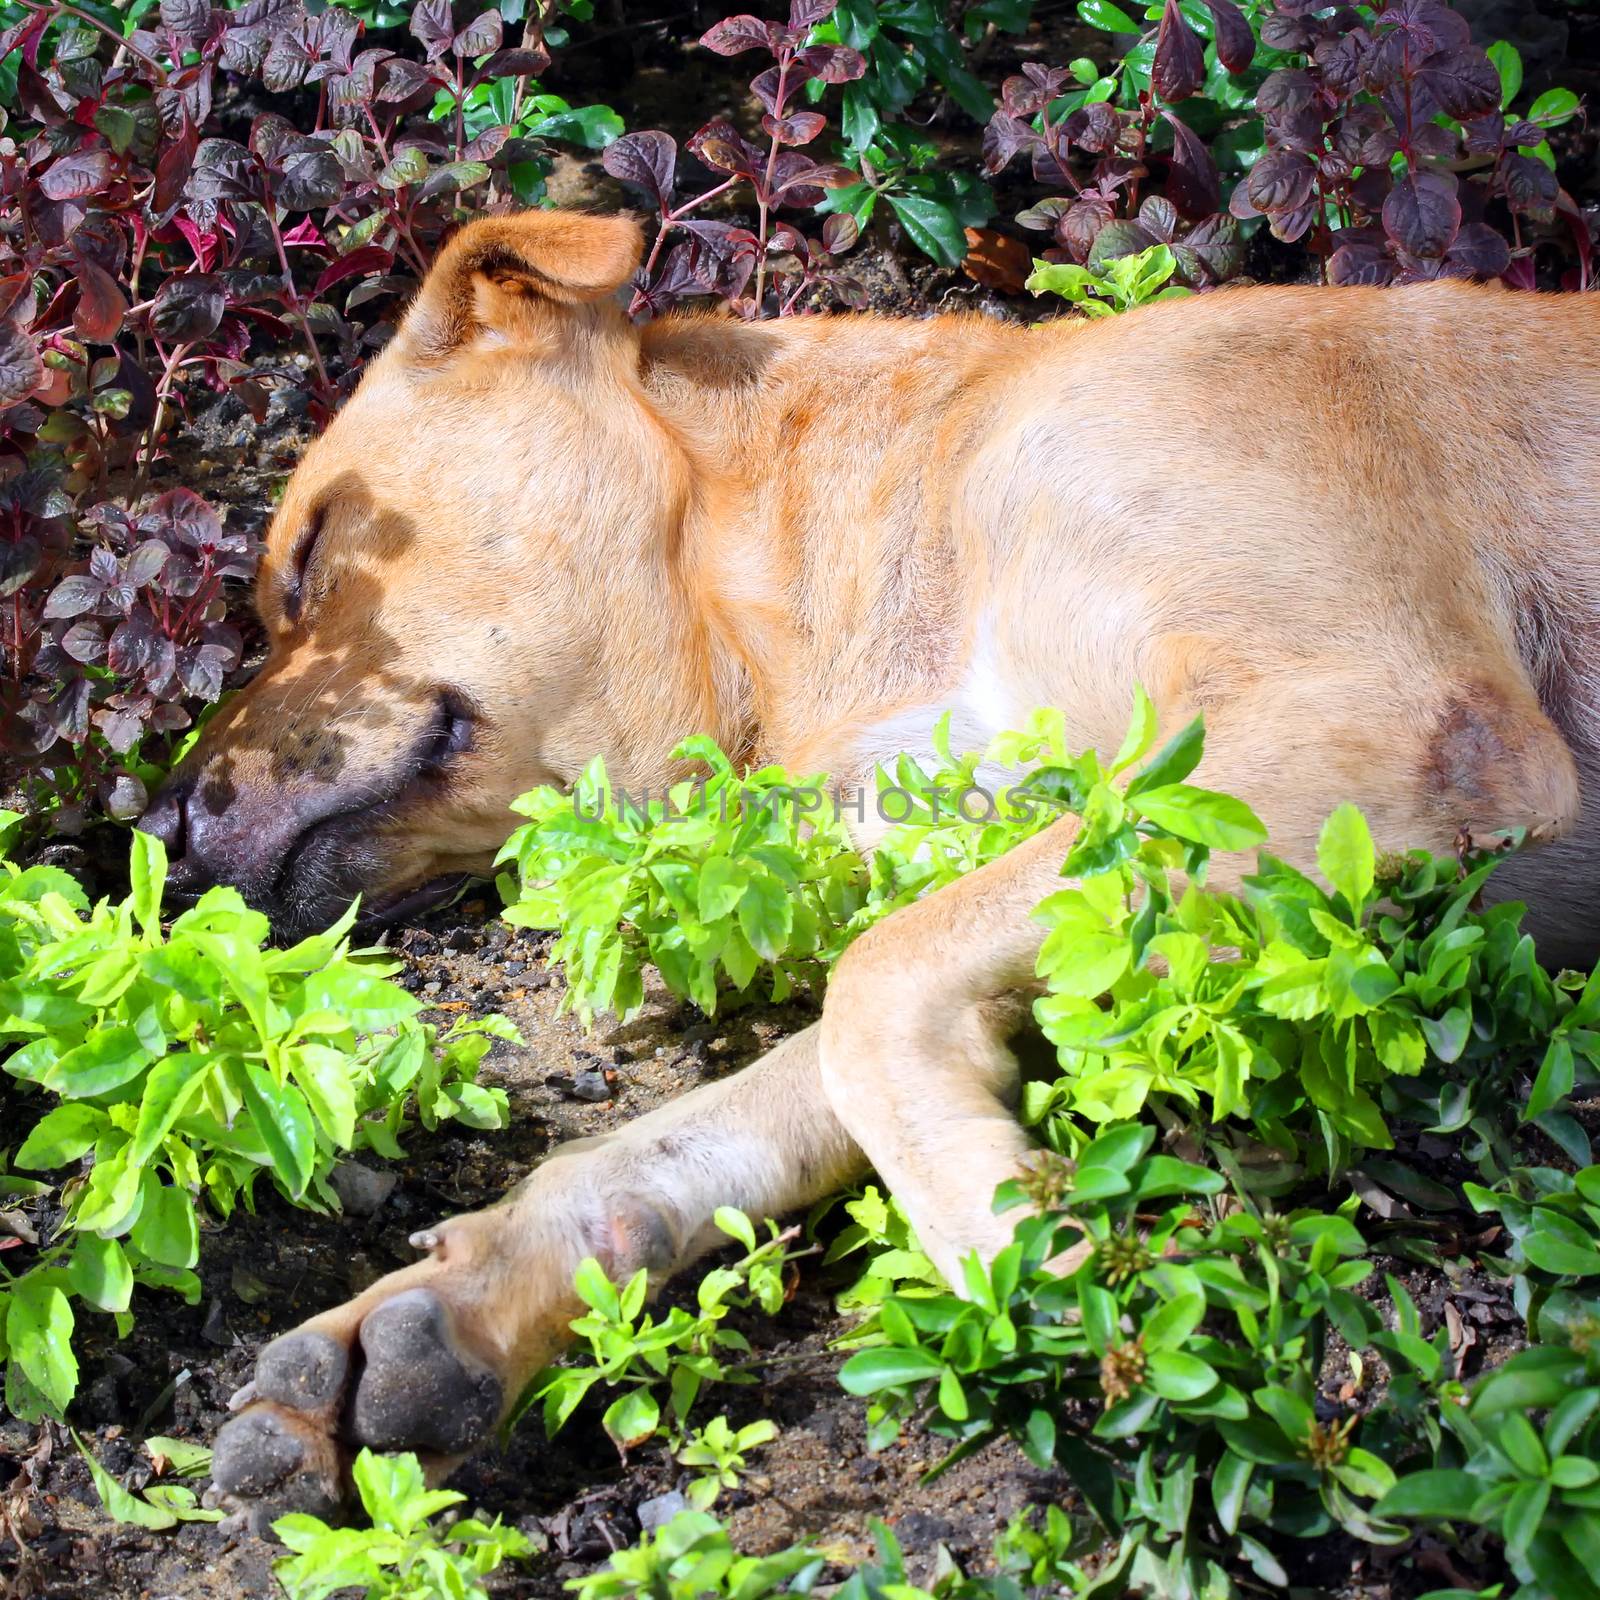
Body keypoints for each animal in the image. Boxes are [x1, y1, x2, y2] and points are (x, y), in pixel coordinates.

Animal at [140, 212, 1600, 1523]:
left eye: (312, 552)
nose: (159, 836)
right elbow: (765, 1093)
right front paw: (474, 1297)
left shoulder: (1390, 725)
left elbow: (871, 982)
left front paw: (1035, 1259)